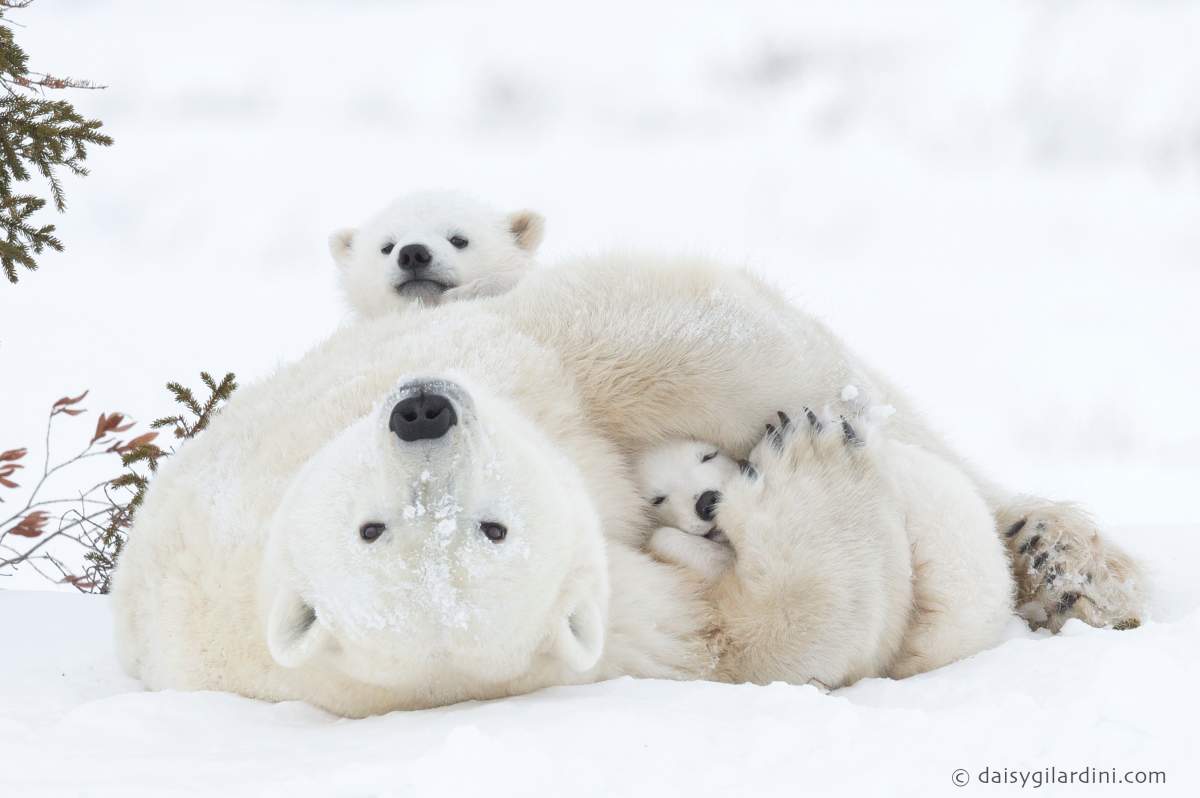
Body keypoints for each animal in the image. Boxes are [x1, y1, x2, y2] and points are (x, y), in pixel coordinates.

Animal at [110, 253, 1146, 717]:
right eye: (378, 531)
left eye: (485, 523)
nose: (424, 412)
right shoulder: (609, 635)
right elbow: (759, 638)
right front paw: (807, 467)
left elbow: (648, 342)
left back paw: (1067, 561)